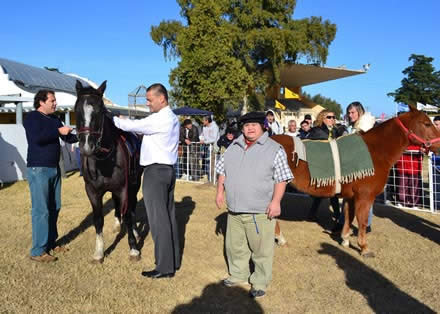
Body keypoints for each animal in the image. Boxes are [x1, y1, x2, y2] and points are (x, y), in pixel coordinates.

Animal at [272, 105, 440, 258]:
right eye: (427, 123)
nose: (439, 145)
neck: (374, 151)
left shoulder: (351, 196)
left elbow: (349, 216)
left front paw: (345, 240)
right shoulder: (365, 197)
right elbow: (362, 220)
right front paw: (364, 247)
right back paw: (280, 238)